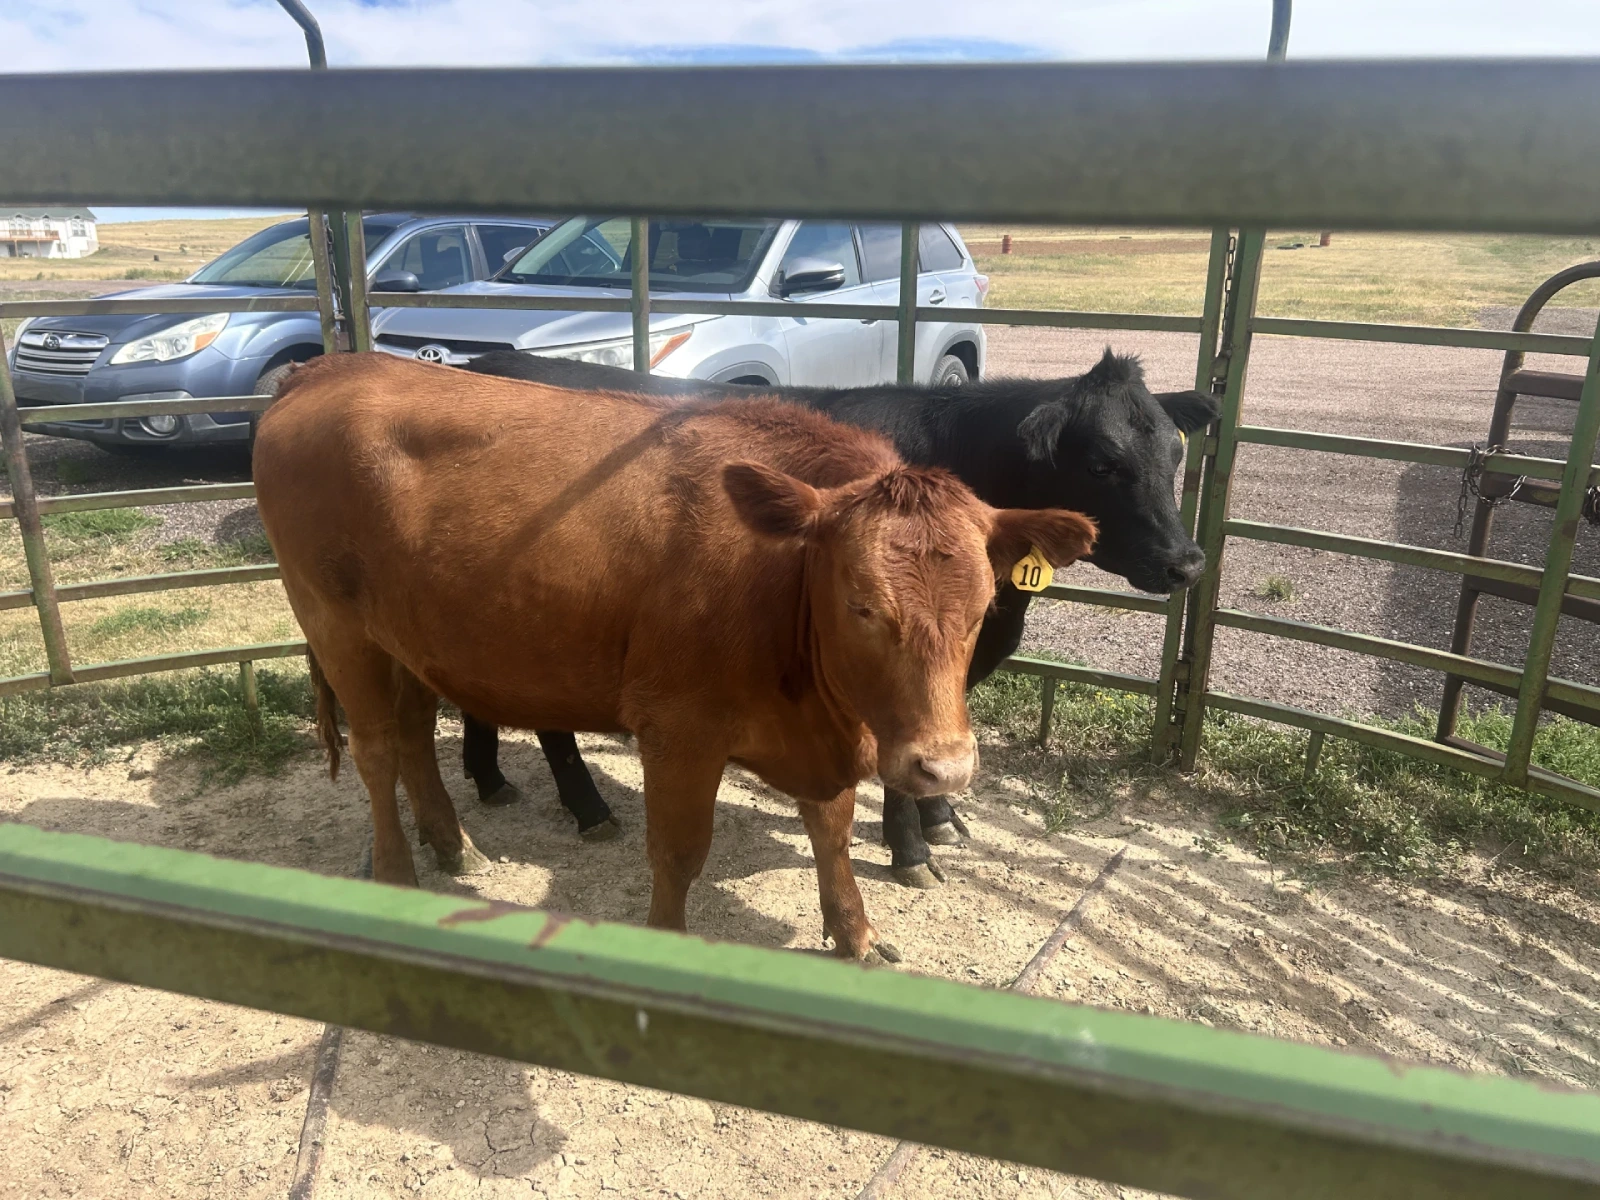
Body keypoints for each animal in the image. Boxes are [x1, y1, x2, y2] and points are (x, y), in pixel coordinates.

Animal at [252, 353, 1095, 960]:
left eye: (982, 606)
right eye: (861, 604)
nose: (943, 768)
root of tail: (333, 367)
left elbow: (830, 832)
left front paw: (856, 934)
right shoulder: (677, 729)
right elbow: (681, 853)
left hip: (410, 637)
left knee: (415, 735)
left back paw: (456, 851)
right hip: (336, 626)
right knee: (376, 750)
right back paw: (396, 876)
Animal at [451, 350, 1219, 887]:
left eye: (1175, 452)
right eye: (1101, 463)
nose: (1186, 561)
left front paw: (943, 820)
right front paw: (910, 851)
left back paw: (489, 779)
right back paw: (587, 808)